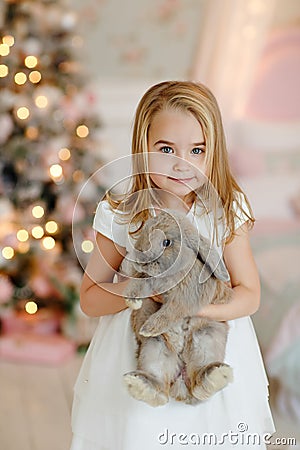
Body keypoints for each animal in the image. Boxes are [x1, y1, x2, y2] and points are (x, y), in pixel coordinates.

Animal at [120, 209, 233, 406]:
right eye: (144, 232)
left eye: (167, 242)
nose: (140, 257)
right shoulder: (148, 280)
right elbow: (140, 283)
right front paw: (132, 300)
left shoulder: (186, 297)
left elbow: (171, 311)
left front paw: (150, 327)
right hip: (155, 348)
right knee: (160, 389)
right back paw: (140, 383)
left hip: (207, 336)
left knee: (199, 381)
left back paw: (216, 374)